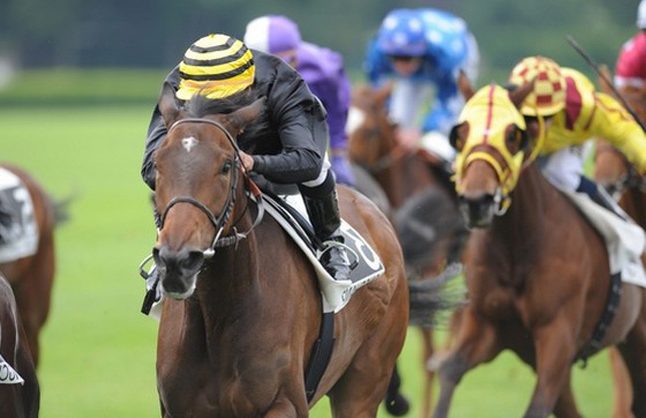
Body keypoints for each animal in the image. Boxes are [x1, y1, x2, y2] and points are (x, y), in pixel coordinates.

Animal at [151, 83, 410, 416]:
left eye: (226, 166)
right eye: (158, 163)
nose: (177, 261)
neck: (219, 313)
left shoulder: (285, 401)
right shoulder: (177, 407)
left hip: (365, 378)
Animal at [432, 82, 646, 418]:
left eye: (512, 136)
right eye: (460, 134)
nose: (476, 202)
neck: (517, 246)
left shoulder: (557, 334)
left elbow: (537, 405)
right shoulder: (489, 325)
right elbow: (450, 369)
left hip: (636, 336)